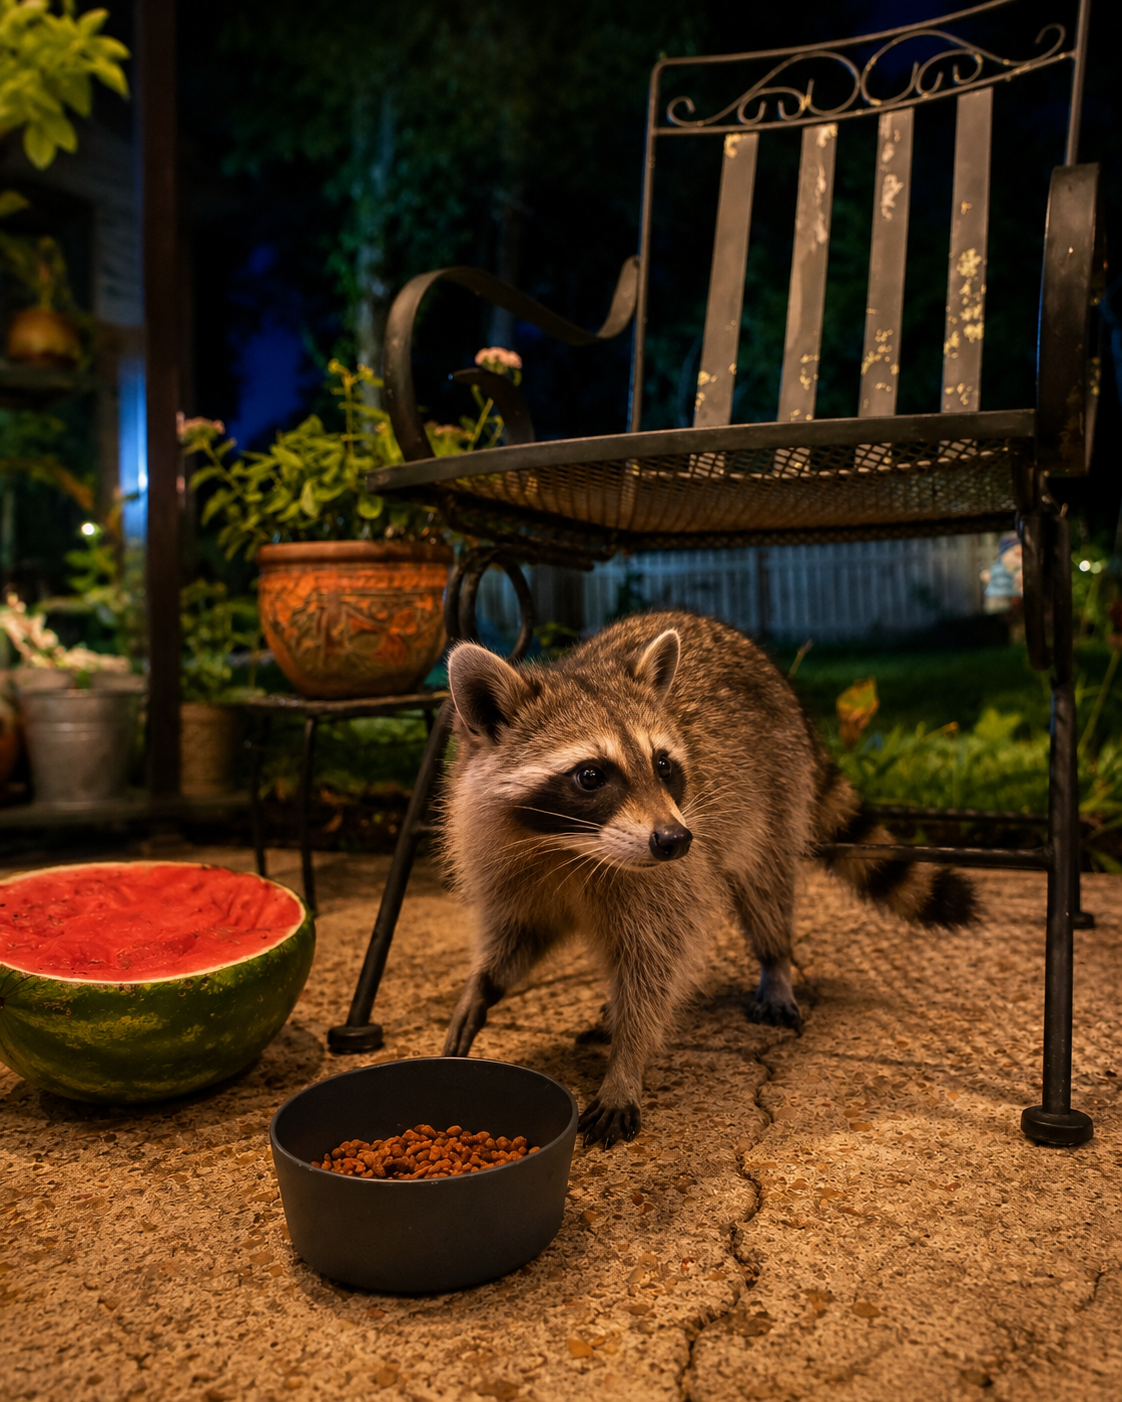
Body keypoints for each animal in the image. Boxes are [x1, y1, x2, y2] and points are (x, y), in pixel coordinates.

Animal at [441, 610, 975, 1147]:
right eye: (590, 776)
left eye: (662, 765)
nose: (675, 840)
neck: (570, 848)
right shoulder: (509, 867)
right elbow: (519, 934)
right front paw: (482, 985)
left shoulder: (668, 881)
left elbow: (656, 967)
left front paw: (626, 1063)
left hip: (776, 793)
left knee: (765, 889)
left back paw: (775, 960)